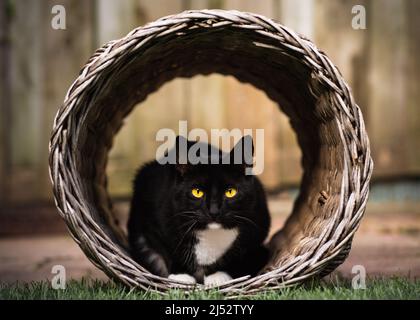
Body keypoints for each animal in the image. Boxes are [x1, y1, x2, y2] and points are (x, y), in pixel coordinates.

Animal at [126, 135, 270, 284]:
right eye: (197, 192)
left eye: (230, 192)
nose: (213, 211)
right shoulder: (154, 222)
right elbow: (169, 248)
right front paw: (181, 275)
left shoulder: (258, 226)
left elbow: (239, 256)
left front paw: (218, 275)